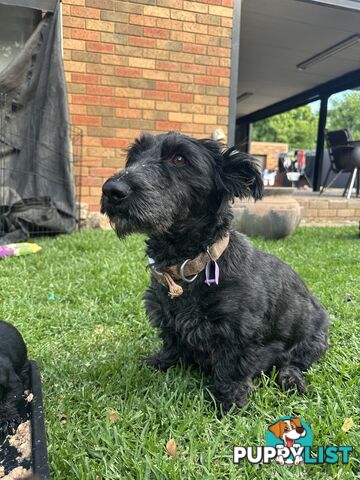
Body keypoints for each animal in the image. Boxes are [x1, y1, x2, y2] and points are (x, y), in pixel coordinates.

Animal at [100, 132, 330, 412]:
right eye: (135, 156)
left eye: (179, 159)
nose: (112, 190)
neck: (188, 266)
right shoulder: (168, 321)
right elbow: (172, 344)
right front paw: (161, 362)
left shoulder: (239, 333)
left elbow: (232, 368)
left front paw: (227, 400)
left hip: (313, 341)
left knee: (294, 362)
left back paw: (291, 379)